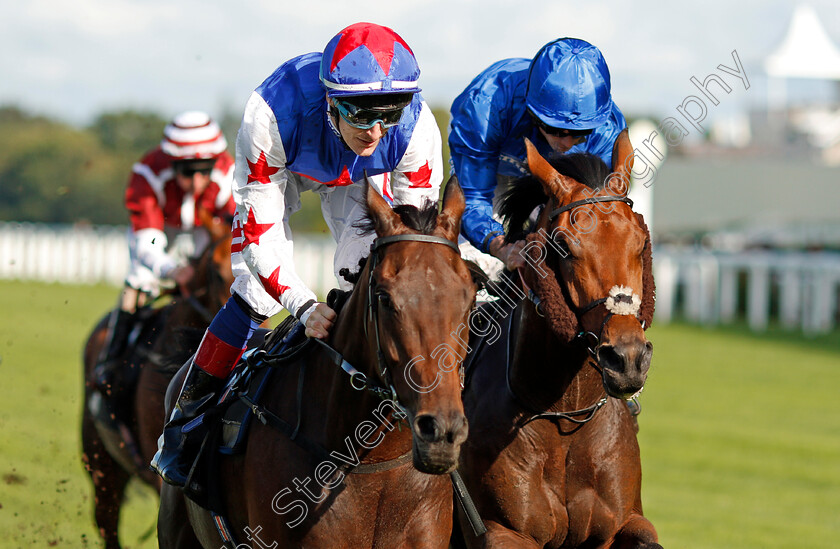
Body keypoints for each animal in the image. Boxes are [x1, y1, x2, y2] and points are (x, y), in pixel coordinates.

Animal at [456, 134, 660, 548]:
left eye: (640, 240)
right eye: (563, 245)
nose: (627, 358)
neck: (565, 415)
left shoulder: (623, 523)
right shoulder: (501, 530)